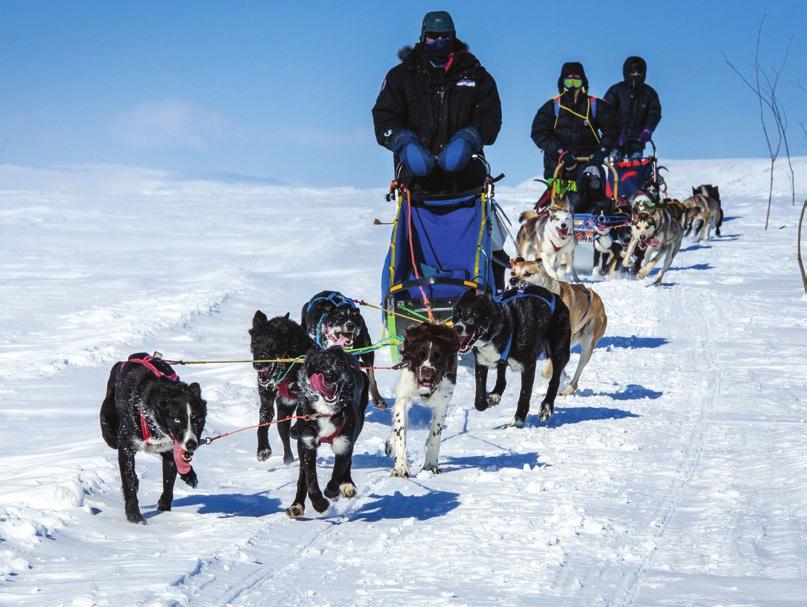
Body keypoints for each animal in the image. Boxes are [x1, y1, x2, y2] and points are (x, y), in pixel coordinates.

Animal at [99, 354, 207, 524]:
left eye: (198, 420)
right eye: (177, 419)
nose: (192, 444)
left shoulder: (170, 450)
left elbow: (169, 482)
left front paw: (165, 508)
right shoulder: (126, 447)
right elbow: (129, 481)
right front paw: (134, 516)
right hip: (109, 429)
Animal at [248, 314, 314, 466]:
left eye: (271, 345)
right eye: (254, 344)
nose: (259, 365)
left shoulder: (303, 396)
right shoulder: (266, 397)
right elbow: (263, 424)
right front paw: (263, 450)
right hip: (284, 409)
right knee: (283, 431)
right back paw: (288, 457)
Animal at [286, 346, 368, 516]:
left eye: (339, 363)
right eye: (321, 365)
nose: (331, 376)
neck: (325, 412)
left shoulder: (344, 444)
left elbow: (337, 473)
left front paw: (332, 491)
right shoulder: (307, 444)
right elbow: (310, 480)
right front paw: (319, 503)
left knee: (346, 465)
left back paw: (347, 485)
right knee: (302, 476)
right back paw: (297, 505)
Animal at [386, 324, 458, 480]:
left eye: (438, 357)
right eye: (420, 355)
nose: (426, 370)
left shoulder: (442, 405)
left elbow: (435, 438)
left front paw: (430, 466)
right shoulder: (403, 399)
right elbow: (400, 432)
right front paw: (401, 468)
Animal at [452, 284, 572, 428]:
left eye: (475, 313)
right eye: (457, 313)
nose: (457, 328)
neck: (505, 328)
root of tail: (555, 296)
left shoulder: (528, 366)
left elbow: (524, 395)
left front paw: (518, 420)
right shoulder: (482, 363)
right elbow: (479, 399)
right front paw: (487, 401)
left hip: (559, 351)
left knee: (555, 380)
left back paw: (546, 407)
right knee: (502, 377)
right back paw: (495, 395)